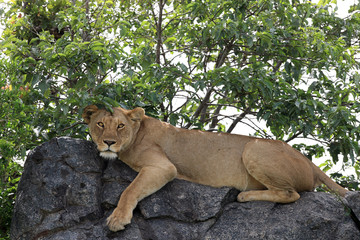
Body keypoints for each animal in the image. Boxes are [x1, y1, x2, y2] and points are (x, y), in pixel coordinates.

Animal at [82, 105, 348, 232]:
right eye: (100, 124)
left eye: (120, 126)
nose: (108, 142)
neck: (136, 134)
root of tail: (309, 162)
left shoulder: (164, 167)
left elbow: (130, 190)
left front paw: (117, 219)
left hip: (253, 148)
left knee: (291, 194)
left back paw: (245, 195)